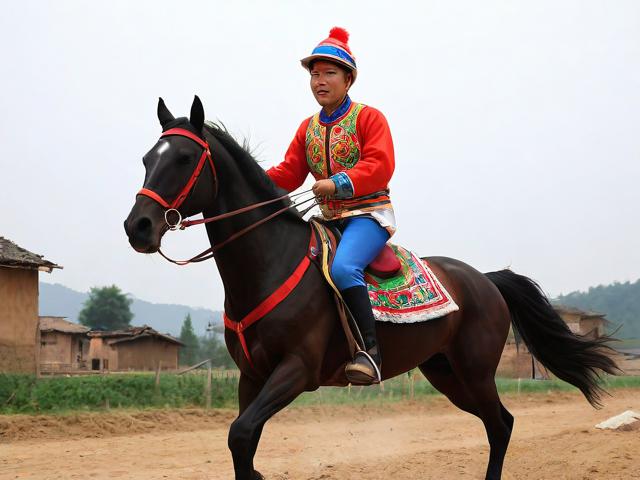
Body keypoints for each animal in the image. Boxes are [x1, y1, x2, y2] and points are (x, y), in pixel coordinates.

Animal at [124, 96, 619, 480]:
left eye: (184, 159)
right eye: (148, 158)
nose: (138, 226)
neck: (270, 263)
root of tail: (485, 279)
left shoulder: (296, 370)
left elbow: (241, 434)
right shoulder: (252, 376)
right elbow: (242, 444)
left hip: (475, 371)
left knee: (500, 426)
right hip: (445, 372)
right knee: (502, 422)